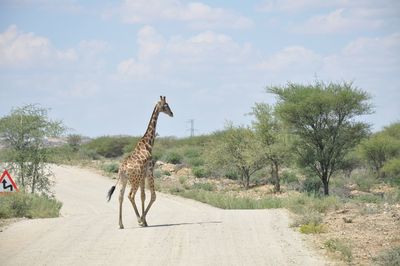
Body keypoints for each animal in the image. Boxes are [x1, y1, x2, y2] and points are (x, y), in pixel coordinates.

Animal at [106, 95, 173, 229]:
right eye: (166, 105)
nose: (172, 113)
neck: (148, 144)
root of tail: (123, 169)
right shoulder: (150, 171)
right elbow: (153, 196)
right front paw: (143, 220)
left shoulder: (143, 175)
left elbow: (143, 196)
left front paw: (145, 221)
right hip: (134, 180)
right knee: (130, 195)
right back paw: (138, 219)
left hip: (124, 180)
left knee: (121, 196)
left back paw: (121, 224)